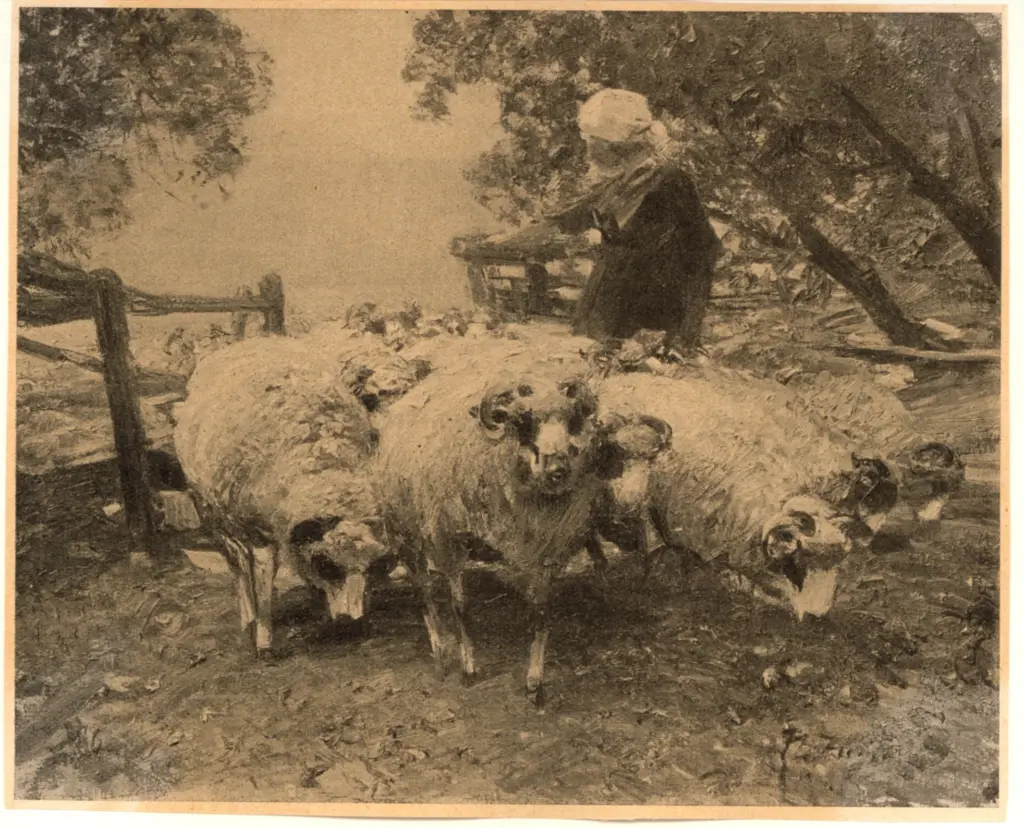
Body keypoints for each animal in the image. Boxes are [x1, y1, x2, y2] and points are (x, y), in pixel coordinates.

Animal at [173, 334, 397, 657]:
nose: (350, 623)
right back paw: (248, 615)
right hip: (209, 510)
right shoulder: (260, 534)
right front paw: (264, 641)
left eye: (374, 567)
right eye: (327, 565)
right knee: (236, 563)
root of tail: (250, 341)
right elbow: (264, 579)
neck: (321, 464)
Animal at [370, 332, 669, 705]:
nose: (558, 469)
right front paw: (469, 669)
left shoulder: (545, 552)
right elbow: (460, 607)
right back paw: (439, 655)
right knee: (423, 593)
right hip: (403, 533)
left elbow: (541, 615)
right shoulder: (448, 540)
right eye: (525, 422)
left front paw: (535, 682)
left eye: (572, 420)